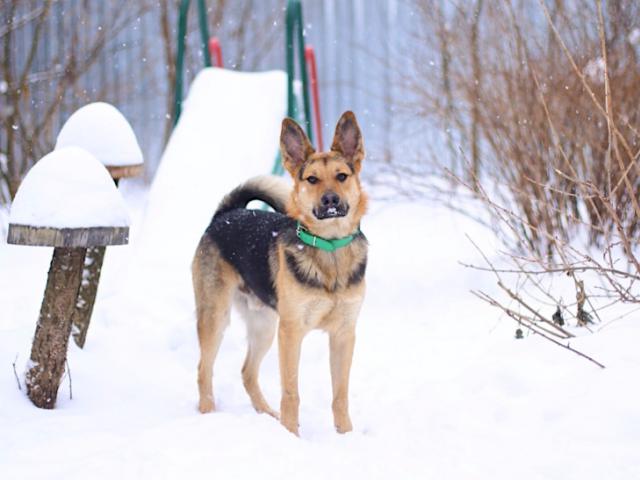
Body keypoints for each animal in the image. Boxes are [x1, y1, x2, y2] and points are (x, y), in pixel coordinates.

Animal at [192, 111, 368, 436]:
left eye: (341, 176)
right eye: (312, 179)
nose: (330, 200)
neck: (329, 248)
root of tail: (226, 213)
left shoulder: (344, 334)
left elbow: (340, 394)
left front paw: (346, 435)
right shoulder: (291, 332)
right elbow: (291, 392)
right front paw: (292, 436)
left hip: (263, 325)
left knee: (247, 372)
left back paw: (267, 416)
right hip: (216, 316)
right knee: (203, 369)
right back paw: (209, 415)